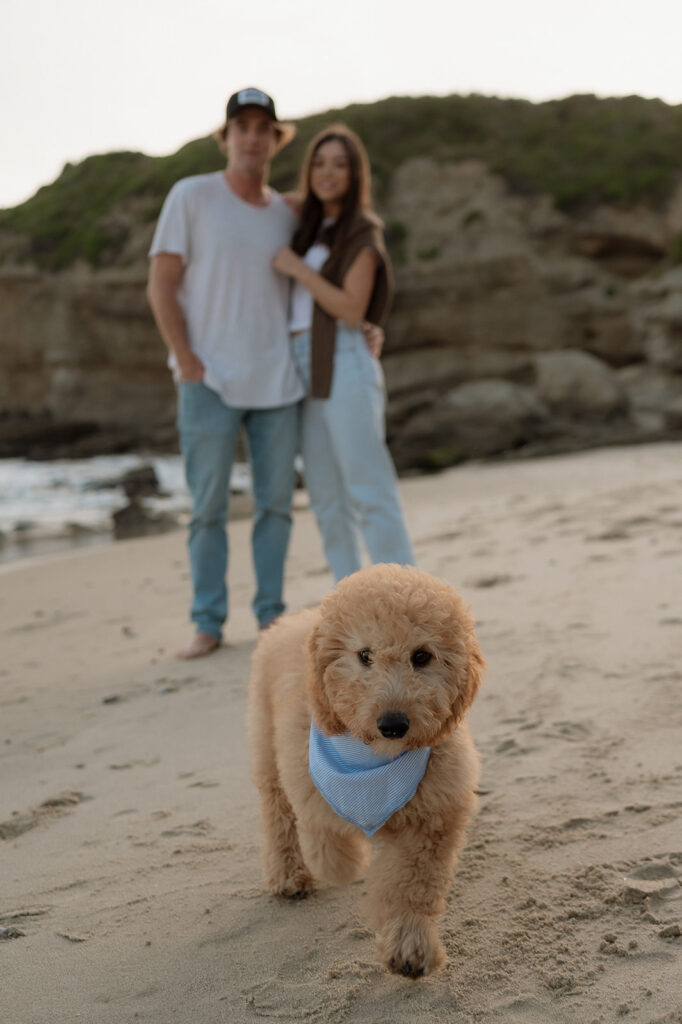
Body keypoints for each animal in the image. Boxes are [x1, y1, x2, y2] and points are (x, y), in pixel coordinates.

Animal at [246, 565, 481, 978]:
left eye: (422, 656)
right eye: (364, 655)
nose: (393, 724)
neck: (376, 762)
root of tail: (295, 619)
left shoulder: (434, 818)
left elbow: (412, 886)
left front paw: (410, 946)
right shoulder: (311, 786)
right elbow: (328, 846)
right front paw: (347, 863)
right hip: (266, 745)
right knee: (277, 813)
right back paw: (288, 876)